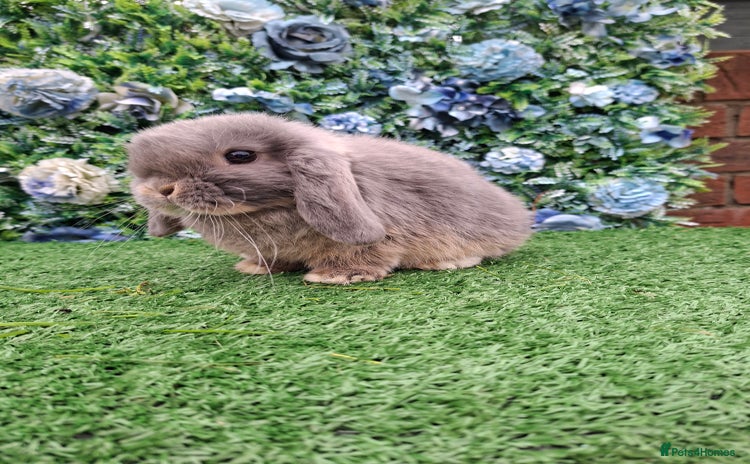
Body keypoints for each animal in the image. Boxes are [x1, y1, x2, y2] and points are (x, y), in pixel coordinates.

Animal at [127, 112, 532, 284]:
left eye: (240, 156)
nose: (160, 188)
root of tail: (519, 216)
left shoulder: (380, 237)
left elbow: (363, 254)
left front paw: (335, 277)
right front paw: (254, 267)